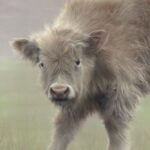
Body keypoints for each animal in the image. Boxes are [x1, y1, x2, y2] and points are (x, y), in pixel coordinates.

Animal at [11, 0, 150, 149]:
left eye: (77, 61)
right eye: (42, 64)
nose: (59, 91)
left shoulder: (121, 95)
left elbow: (116, 131)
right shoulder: (75, 104)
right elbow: (63, 129)